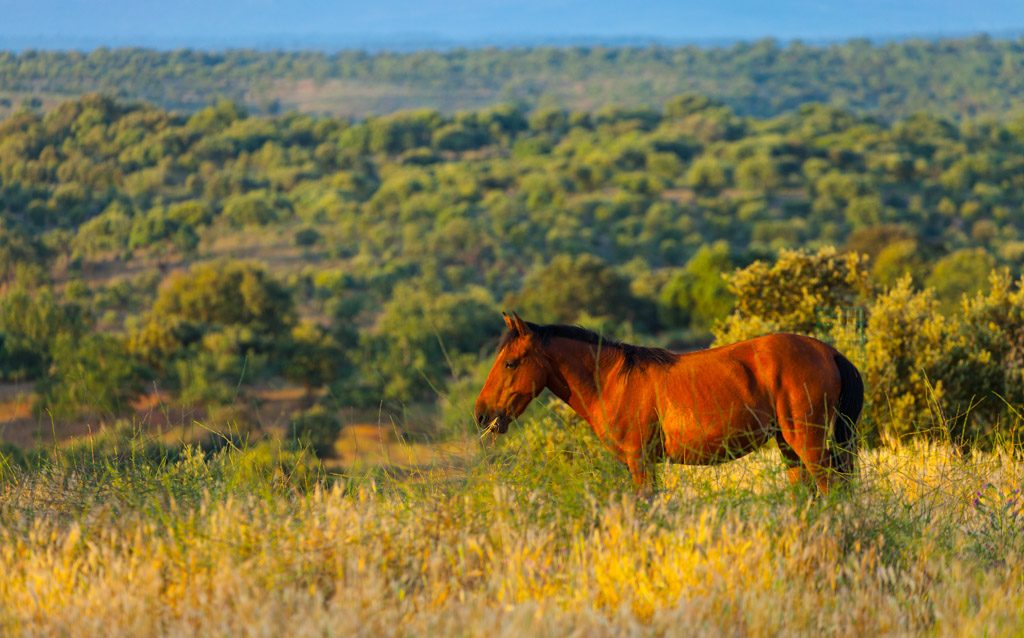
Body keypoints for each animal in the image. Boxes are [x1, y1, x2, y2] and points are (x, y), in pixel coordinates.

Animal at [475, 311, 860, 497]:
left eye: (510, 363)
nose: (482, 414)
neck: (612, 379)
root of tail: (828, 351)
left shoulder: (640, 461)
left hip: (807, 443)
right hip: (788, 446)